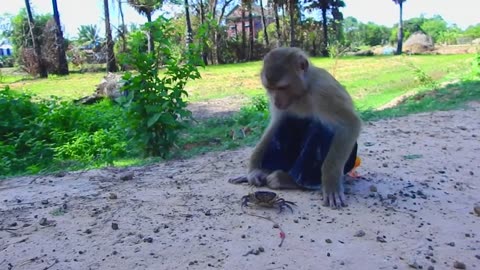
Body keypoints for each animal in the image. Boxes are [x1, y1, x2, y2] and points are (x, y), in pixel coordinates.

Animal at [229, 47, 360, 209]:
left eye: (282, 87)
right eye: (270, 88)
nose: (276, 101)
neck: (304, 90)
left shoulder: (324, 90)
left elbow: (349, 124)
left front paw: (331, 183)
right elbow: (276, 122)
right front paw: (253, 171)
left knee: (321, 126)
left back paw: (289, 180)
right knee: (286, 122)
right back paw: (266, 172)